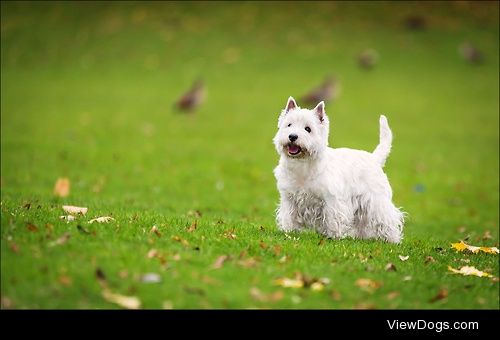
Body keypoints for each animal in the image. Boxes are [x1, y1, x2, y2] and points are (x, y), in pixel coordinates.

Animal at [274, 97, 406, 243]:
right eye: (289, 125)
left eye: (308, 129)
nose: (292, 136)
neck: (303, 166)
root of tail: (374, 158)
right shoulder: (289, 198)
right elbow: (289, 216)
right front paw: (289, 232)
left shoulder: (332, 199)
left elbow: (333, 218)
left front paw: (333, 236)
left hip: (377, 200)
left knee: (387, 219)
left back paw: (392, 240)